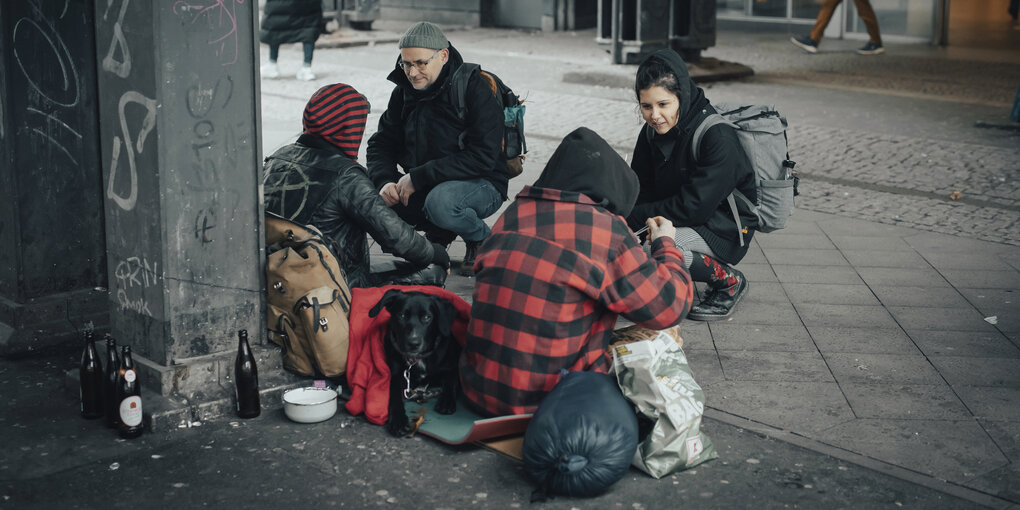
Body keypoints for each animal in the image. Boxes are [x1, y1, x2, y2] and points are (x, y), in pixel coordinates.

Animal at [369, 289, 461, 436]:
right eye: (401, 315)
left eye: (427, 317)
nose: (413, 343)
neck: (418, 359)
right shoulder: (396, 375)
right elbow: (394, 395)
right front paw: (398, 420)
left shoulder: (451, 367)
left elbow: (450, 382)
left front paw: (446, 401)